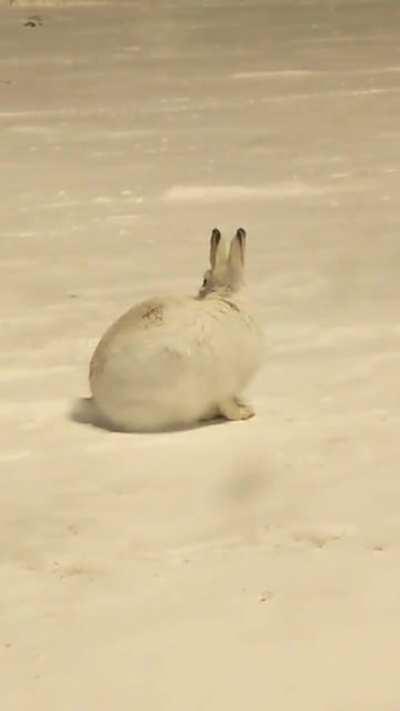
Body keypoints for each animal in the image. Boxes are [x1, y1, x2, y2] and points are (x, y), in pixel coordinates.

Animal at [89, 227, 264, 432]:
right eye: (204, 280)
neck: (224, 296)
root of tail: (102, 402)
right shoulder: (225, 386)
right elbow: (227, 406)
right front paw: (245, 413)